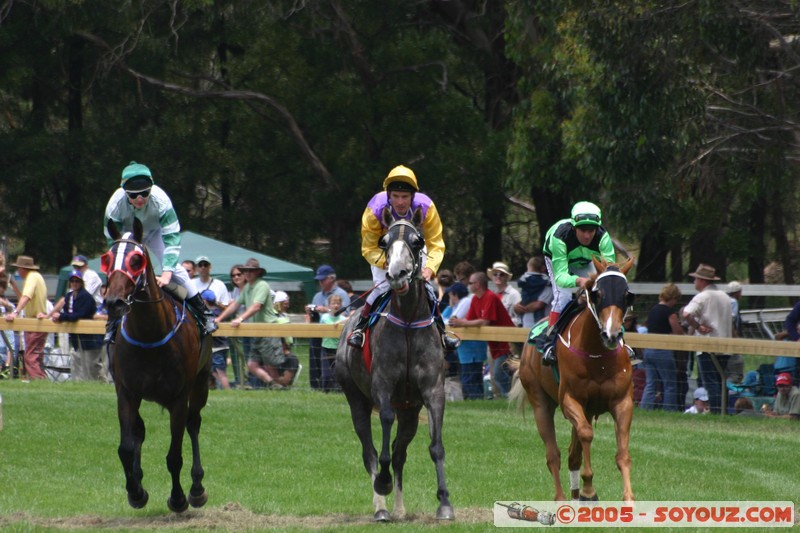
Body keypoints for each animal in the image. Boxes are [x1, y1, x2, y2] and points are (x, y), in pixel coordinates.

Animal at [103, 217, 212, 512]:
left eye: (136, 260)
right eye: (107, 259)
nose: (114, 302)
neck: (149, 334)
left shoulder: (179, 397)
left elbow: (174, 455)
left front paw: (178, 498)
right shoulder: (126, 393)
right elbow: (125, 447)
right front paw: (136, 491)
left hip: (201, 384)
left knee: (194, 423)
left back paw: (197, 487)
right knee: (139, 431)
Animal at [334, 208, 454, 520]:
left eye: (417, 241)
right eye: (384, 241)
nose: (396, 275)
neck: (409, 321)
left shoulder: (433, 391)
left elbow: (436, 446)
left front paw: (445, 503)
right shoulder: (383, 386)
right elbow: (384, 431)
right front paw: (383, 483)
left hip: (409, 411)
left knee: (400, 452)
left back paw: (399, 509)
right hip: (356, 399)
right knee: (370, 452)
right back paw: (381, 507)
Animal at [512, 258, 636, 502]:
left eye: (626, 295)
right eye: (597, 294)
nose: (611, 334)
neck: (598, 357)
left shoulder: (622, 402)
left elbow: (622, 454)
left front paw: (628, 498)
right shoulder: (570, 399)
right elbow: (587, 434)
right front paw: (589, 489)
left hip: (586, 410)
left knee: (572, 454)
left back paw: (577, 495)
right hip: (540, 402)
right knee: (553, 454)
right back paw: (562, 498)